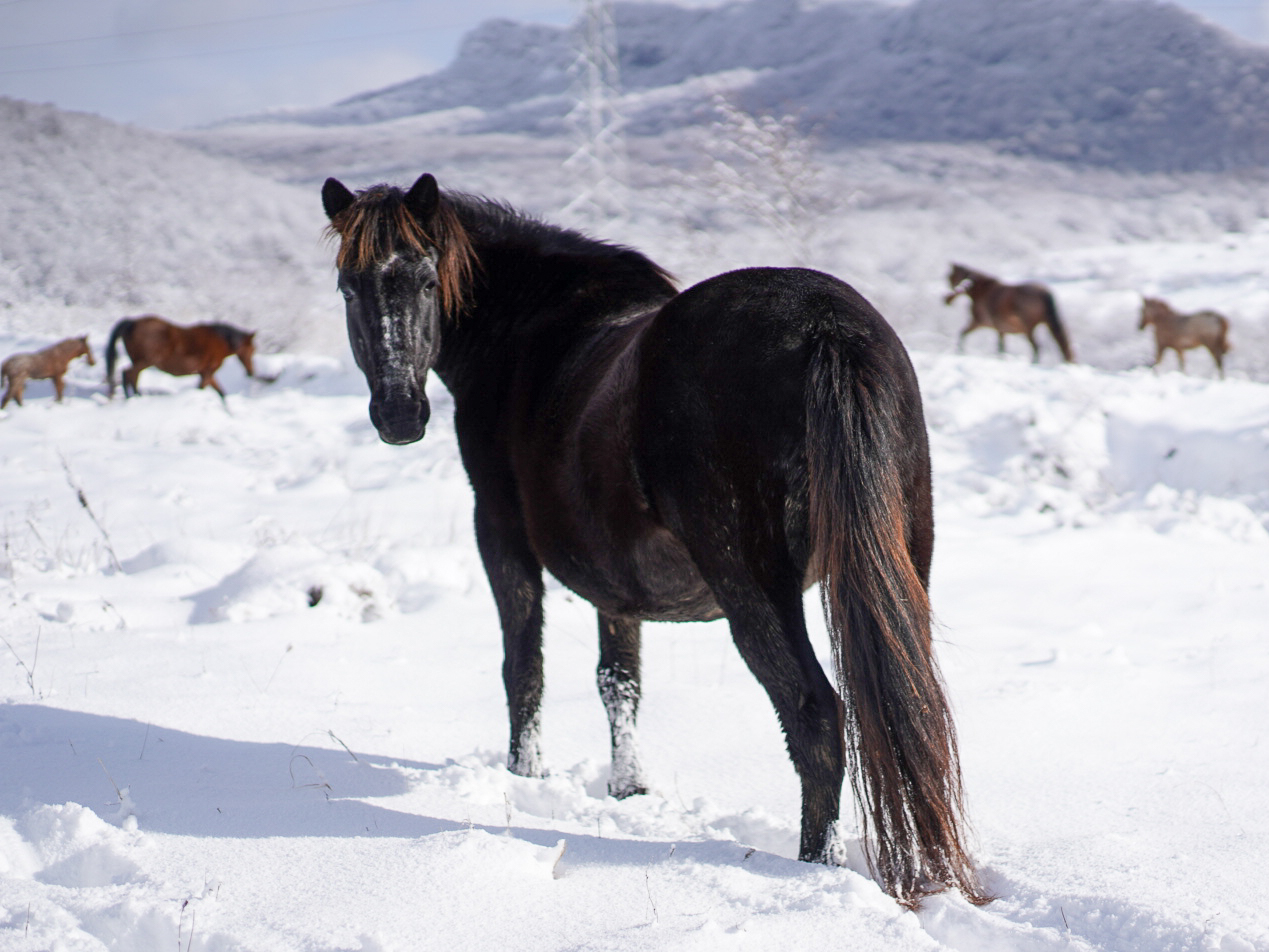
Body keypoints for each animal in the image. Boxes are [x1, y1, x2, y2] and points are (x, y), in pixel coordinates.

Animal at [104, 315, 256, 400]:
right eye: (252, 350)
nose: (251, 372)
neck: (221, 341)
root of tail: (132, 322)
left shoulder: (205, 373)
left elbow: (221, 393)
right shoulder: (208, 372)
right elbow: (202, 389)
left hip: (138, 360)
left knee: (132, 377)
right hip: (146, 361)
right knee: (128, 373)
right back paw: (132, 397)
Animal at [320, 172, 988, 909]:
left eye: (425, 281)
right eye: (348, 288)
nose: (398, 415)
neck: (529, 333)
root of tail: (824, 326)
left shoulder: (499, 534)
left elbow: (524, 667)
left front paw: (523, 776)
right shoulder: (617, 585)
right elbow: (619, 681)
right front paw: (628, 789)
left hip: (753, 588)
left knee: (815, 716)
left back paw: (815, 866)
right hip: (904, 560)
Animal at [944, 263, 1075, 363]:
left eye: (950, 277)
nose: (946, 299)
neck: (983, 292)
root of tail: (1044, 292)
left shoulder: (979, 322)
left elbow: (962, 333)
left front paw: (960, 351)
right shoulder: (1000, 330)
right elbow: (1001, 347)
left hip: (1029, 329)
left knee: (1037, 347)